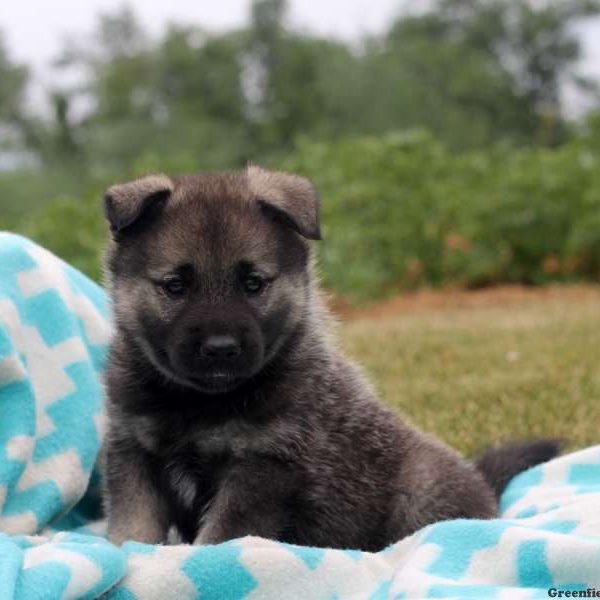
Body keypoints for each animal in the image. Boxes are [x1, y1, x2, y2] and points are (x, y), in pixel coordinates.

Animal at [102, 166, 556, 552]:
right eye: (175, 286)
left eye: (253, 283)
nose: (221, 348)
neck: (199, 404)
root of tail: (483, 484)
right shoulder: (133, 452)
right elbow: (134, 526)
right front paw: (130, 554)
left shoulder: (261, 467)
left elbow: (221, 536)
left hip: (420, 493)